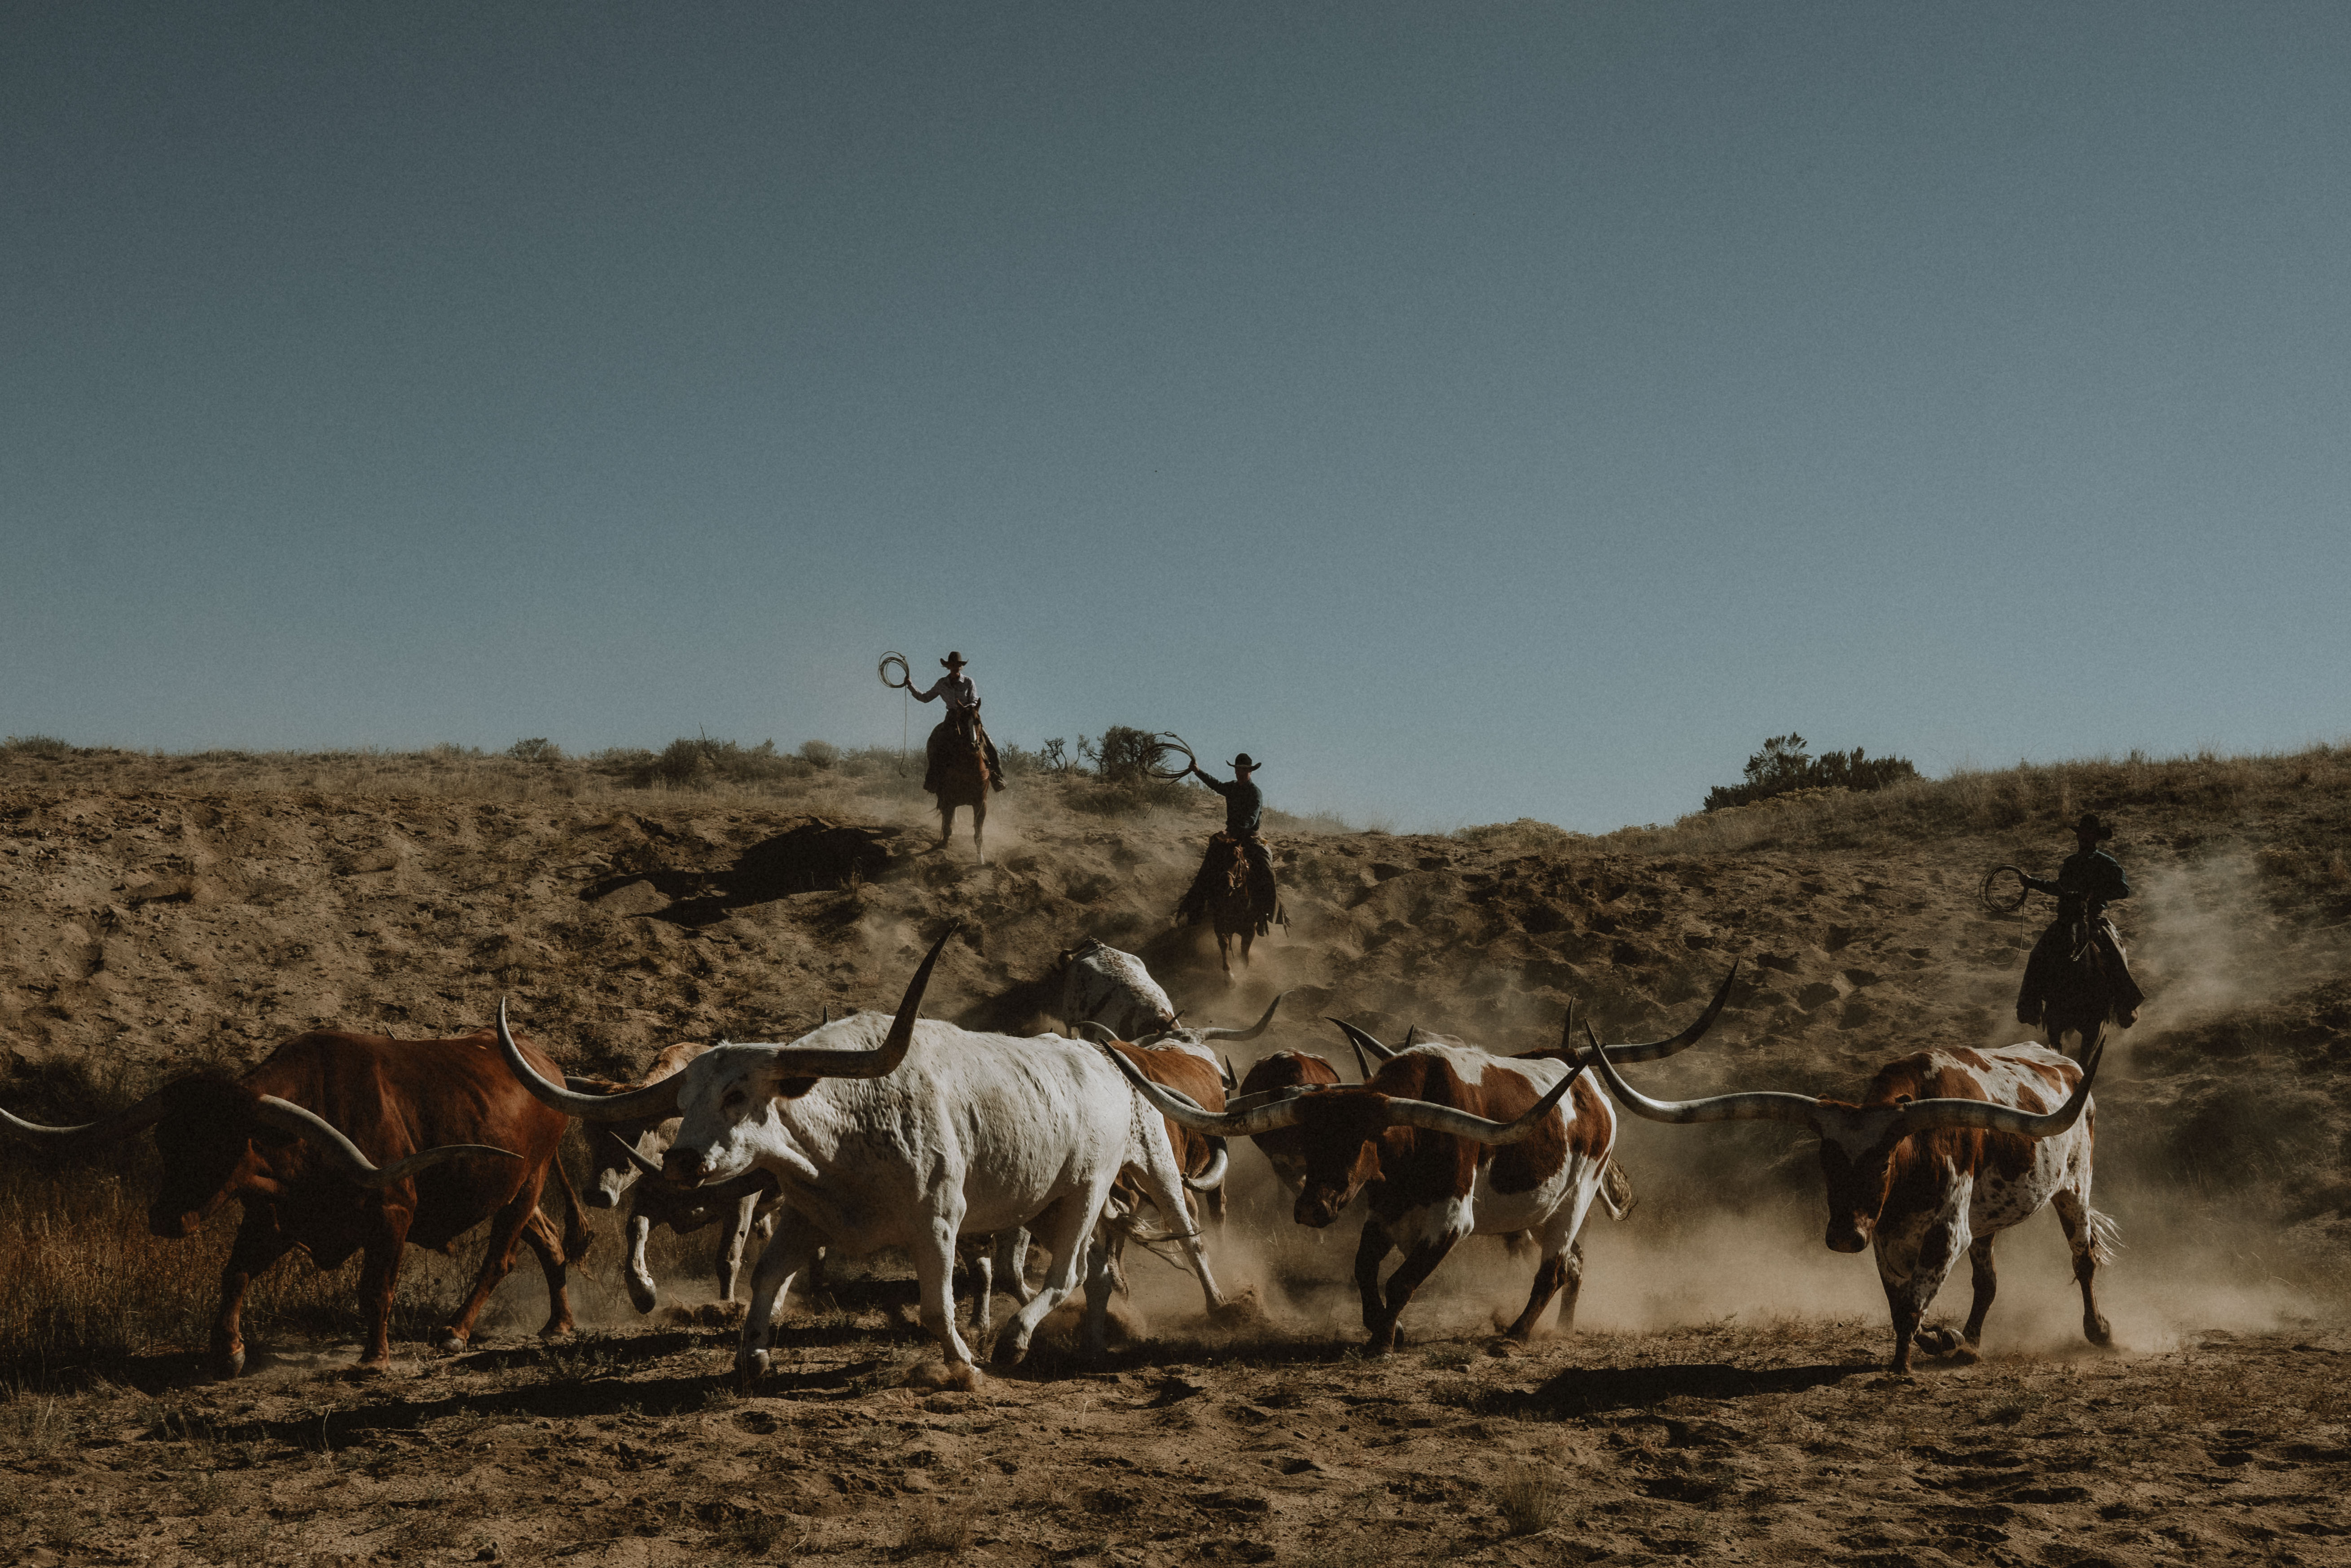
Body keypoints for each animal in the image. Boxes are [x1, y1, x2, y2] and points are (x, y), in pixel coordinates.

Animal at [0, 1028, 586, 1375]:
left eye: (226, 1144)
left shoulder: (392, 1212)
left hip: (529, 1180)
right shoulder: (272, 1220)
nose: (166, 1218)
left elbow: (375, 1289)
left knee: (500, 1257)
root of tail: (546, 1064)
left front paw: (374, 1358)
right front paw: (228, 1350)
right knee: (550, 1242)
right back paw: (559, 1324)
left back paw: (455, 1331)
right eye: (166, 1141)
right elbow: (234, 1274)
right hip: (513, 1188)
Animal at [495, 930, 1233, 1382]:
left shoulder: (938, 1222)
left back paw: (1018, 1339)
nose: (683, 1164)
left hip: (1091, 1191)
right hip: (1051, 1207)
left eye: (738, 1094)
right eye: (683, 1098)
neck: (846, 1129)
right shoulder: (804, 1217)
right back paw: (1091, 1338)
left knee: (1083, 1267)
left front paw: (964, 1363)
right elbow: (766, 1279)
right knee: (1095, 1270)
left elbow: (936, 1307)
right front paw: (753, 1353)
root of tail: (1108, 1062)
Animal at [1582, 1033, 2111, 1373]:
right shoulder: (1883, 1234)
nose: (1841, 1237)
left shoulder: (1945, 1231)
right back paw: (1970, 1342)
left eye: (1883, 1162)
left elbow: (1914, 1299)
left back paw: (2098, 1330)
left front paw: (1902, 1365)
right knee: (1987, 1281)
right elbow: (1902, 1303)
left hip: (2075, 1187)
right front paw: (1942, 1339)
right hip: (1985, 1221)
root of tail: (2065, 1064)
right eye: (1825, 1159)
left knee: (2082, 1259)